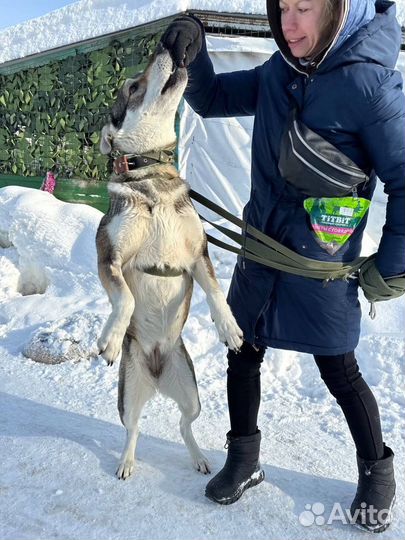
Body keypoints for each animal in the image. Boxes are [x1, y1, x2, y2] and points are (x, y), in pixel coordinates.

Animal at [96, 43, 241, 480]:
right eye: (133, 86)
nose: (168, 51)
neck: (154, 179)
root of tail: (158, 373)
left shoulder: (198, 256)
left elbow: (216, 293)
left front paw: (229, 328)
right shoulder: (108, 254)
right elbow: (124, 298)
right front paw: (111, 337)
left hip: (192, 395)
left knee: (183, 425)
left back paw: (199, 458)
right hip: (128, 395)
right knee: (134, 430)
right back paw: (126, 463)